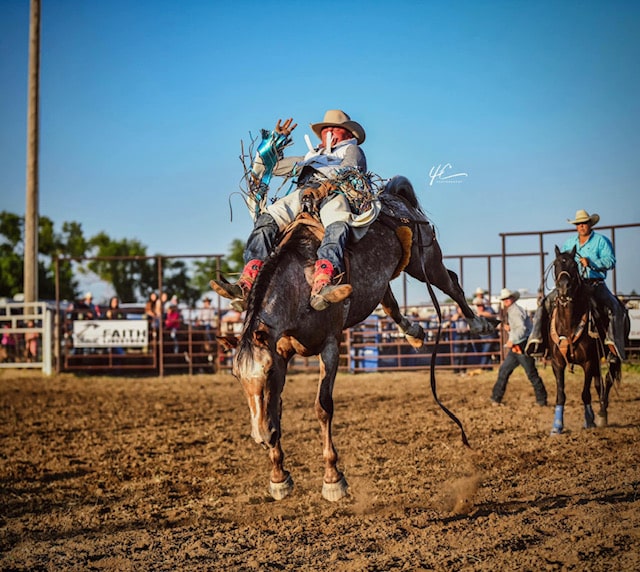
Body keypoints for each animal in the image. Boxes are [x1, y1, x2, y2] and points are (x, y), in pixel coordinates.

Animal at [544, 246, 620, 434]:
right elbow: (561, 394)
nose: (563, 286)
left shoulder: (588, 362)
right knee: (599, 384)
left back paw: (601, 415)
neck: (569, 324)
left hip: (611, 357)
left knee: (607, 381)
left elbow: (585, 393)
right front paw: (557, 426)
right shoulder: (557, 363)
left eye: (574, 265)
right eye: (556, 264)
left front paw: (589, 420)